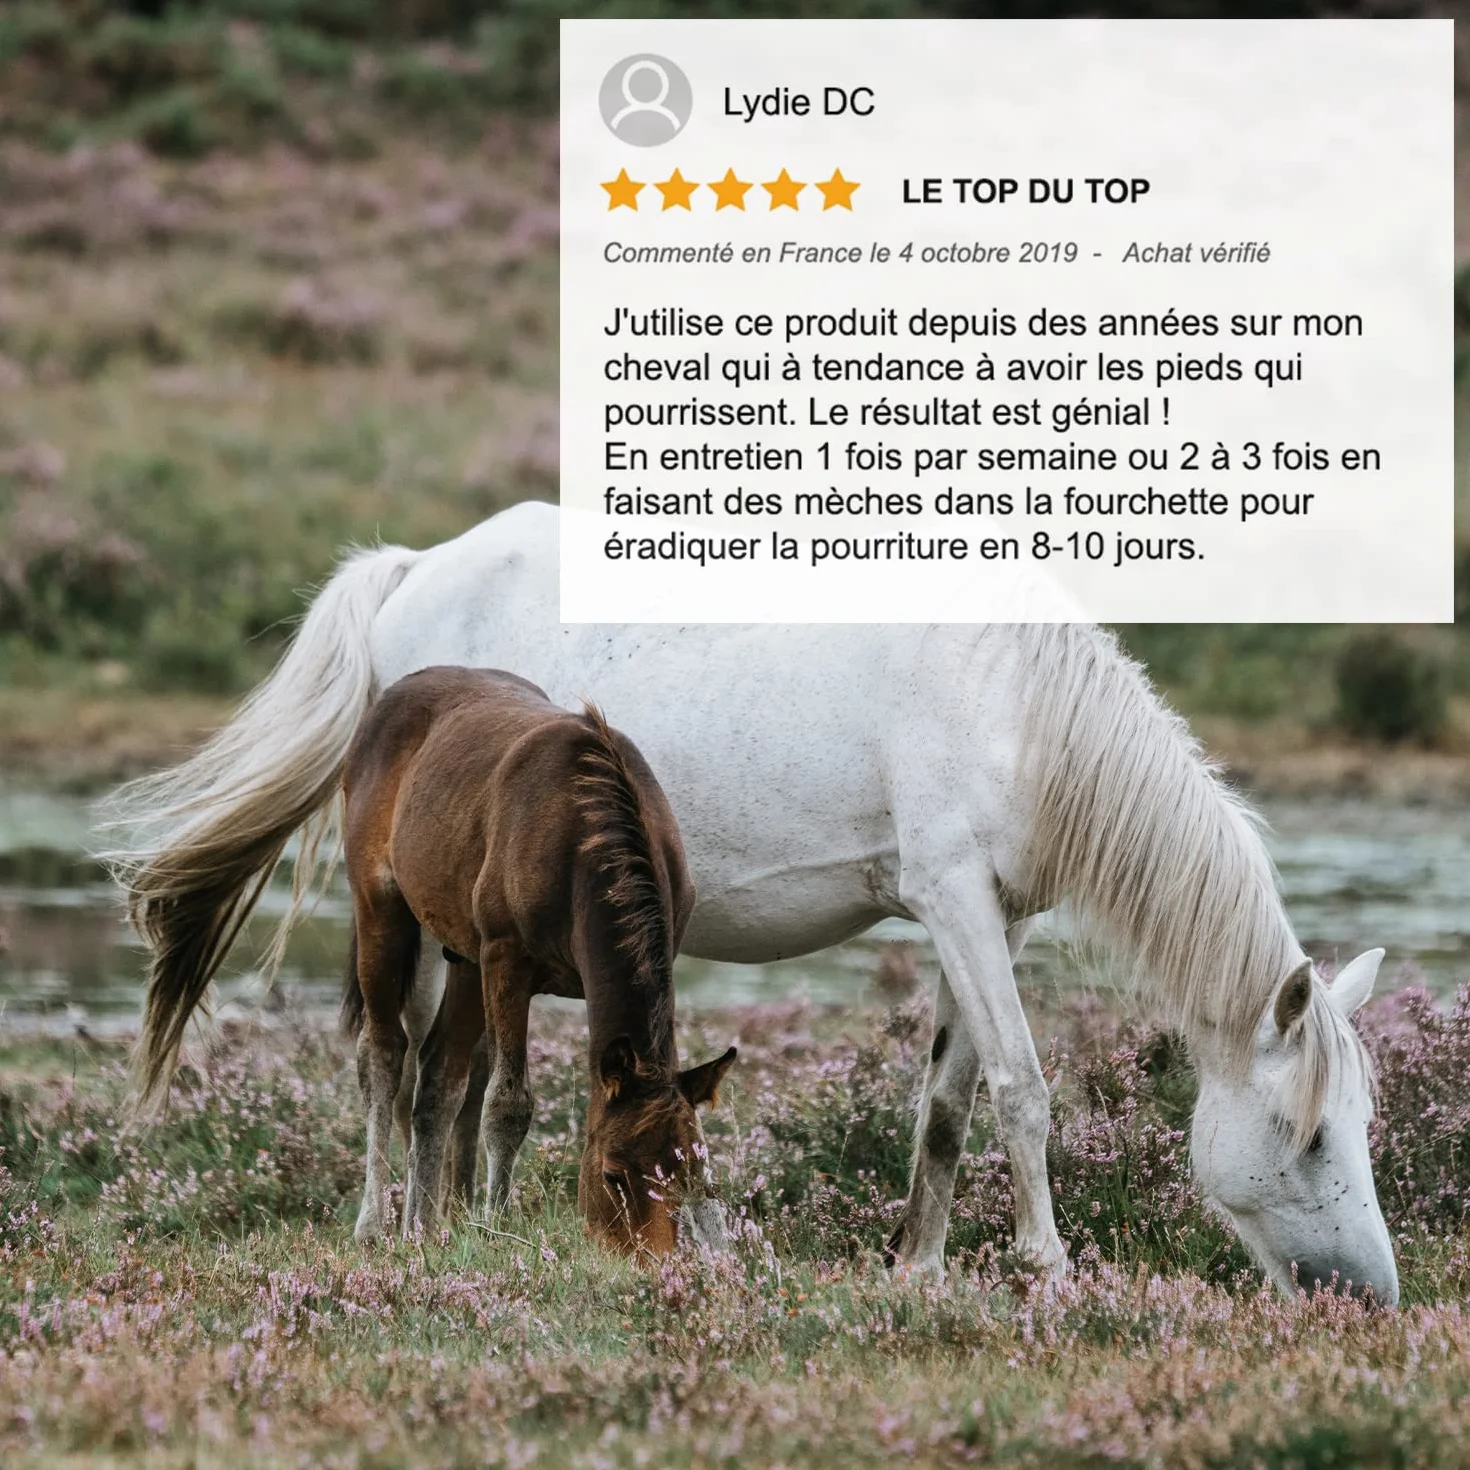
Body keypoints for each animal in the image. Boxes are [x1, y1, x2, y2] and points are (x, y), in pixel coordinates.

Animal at [104, 498, 1399, 1302]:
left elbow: (947, 1107)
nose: (1371, 1298)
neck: (1017, 705)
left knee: (444, 1073)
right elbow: (1025, 1092)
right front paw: (1051, 1270)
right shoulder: (956, 900)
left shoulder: (982, 919)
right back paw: (385, 1227)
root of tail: (416, 567)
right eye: (1311, 1134)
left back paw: (447, 1227)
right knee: (391, 1059)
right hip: (413, 923)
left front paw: (921, 1271)